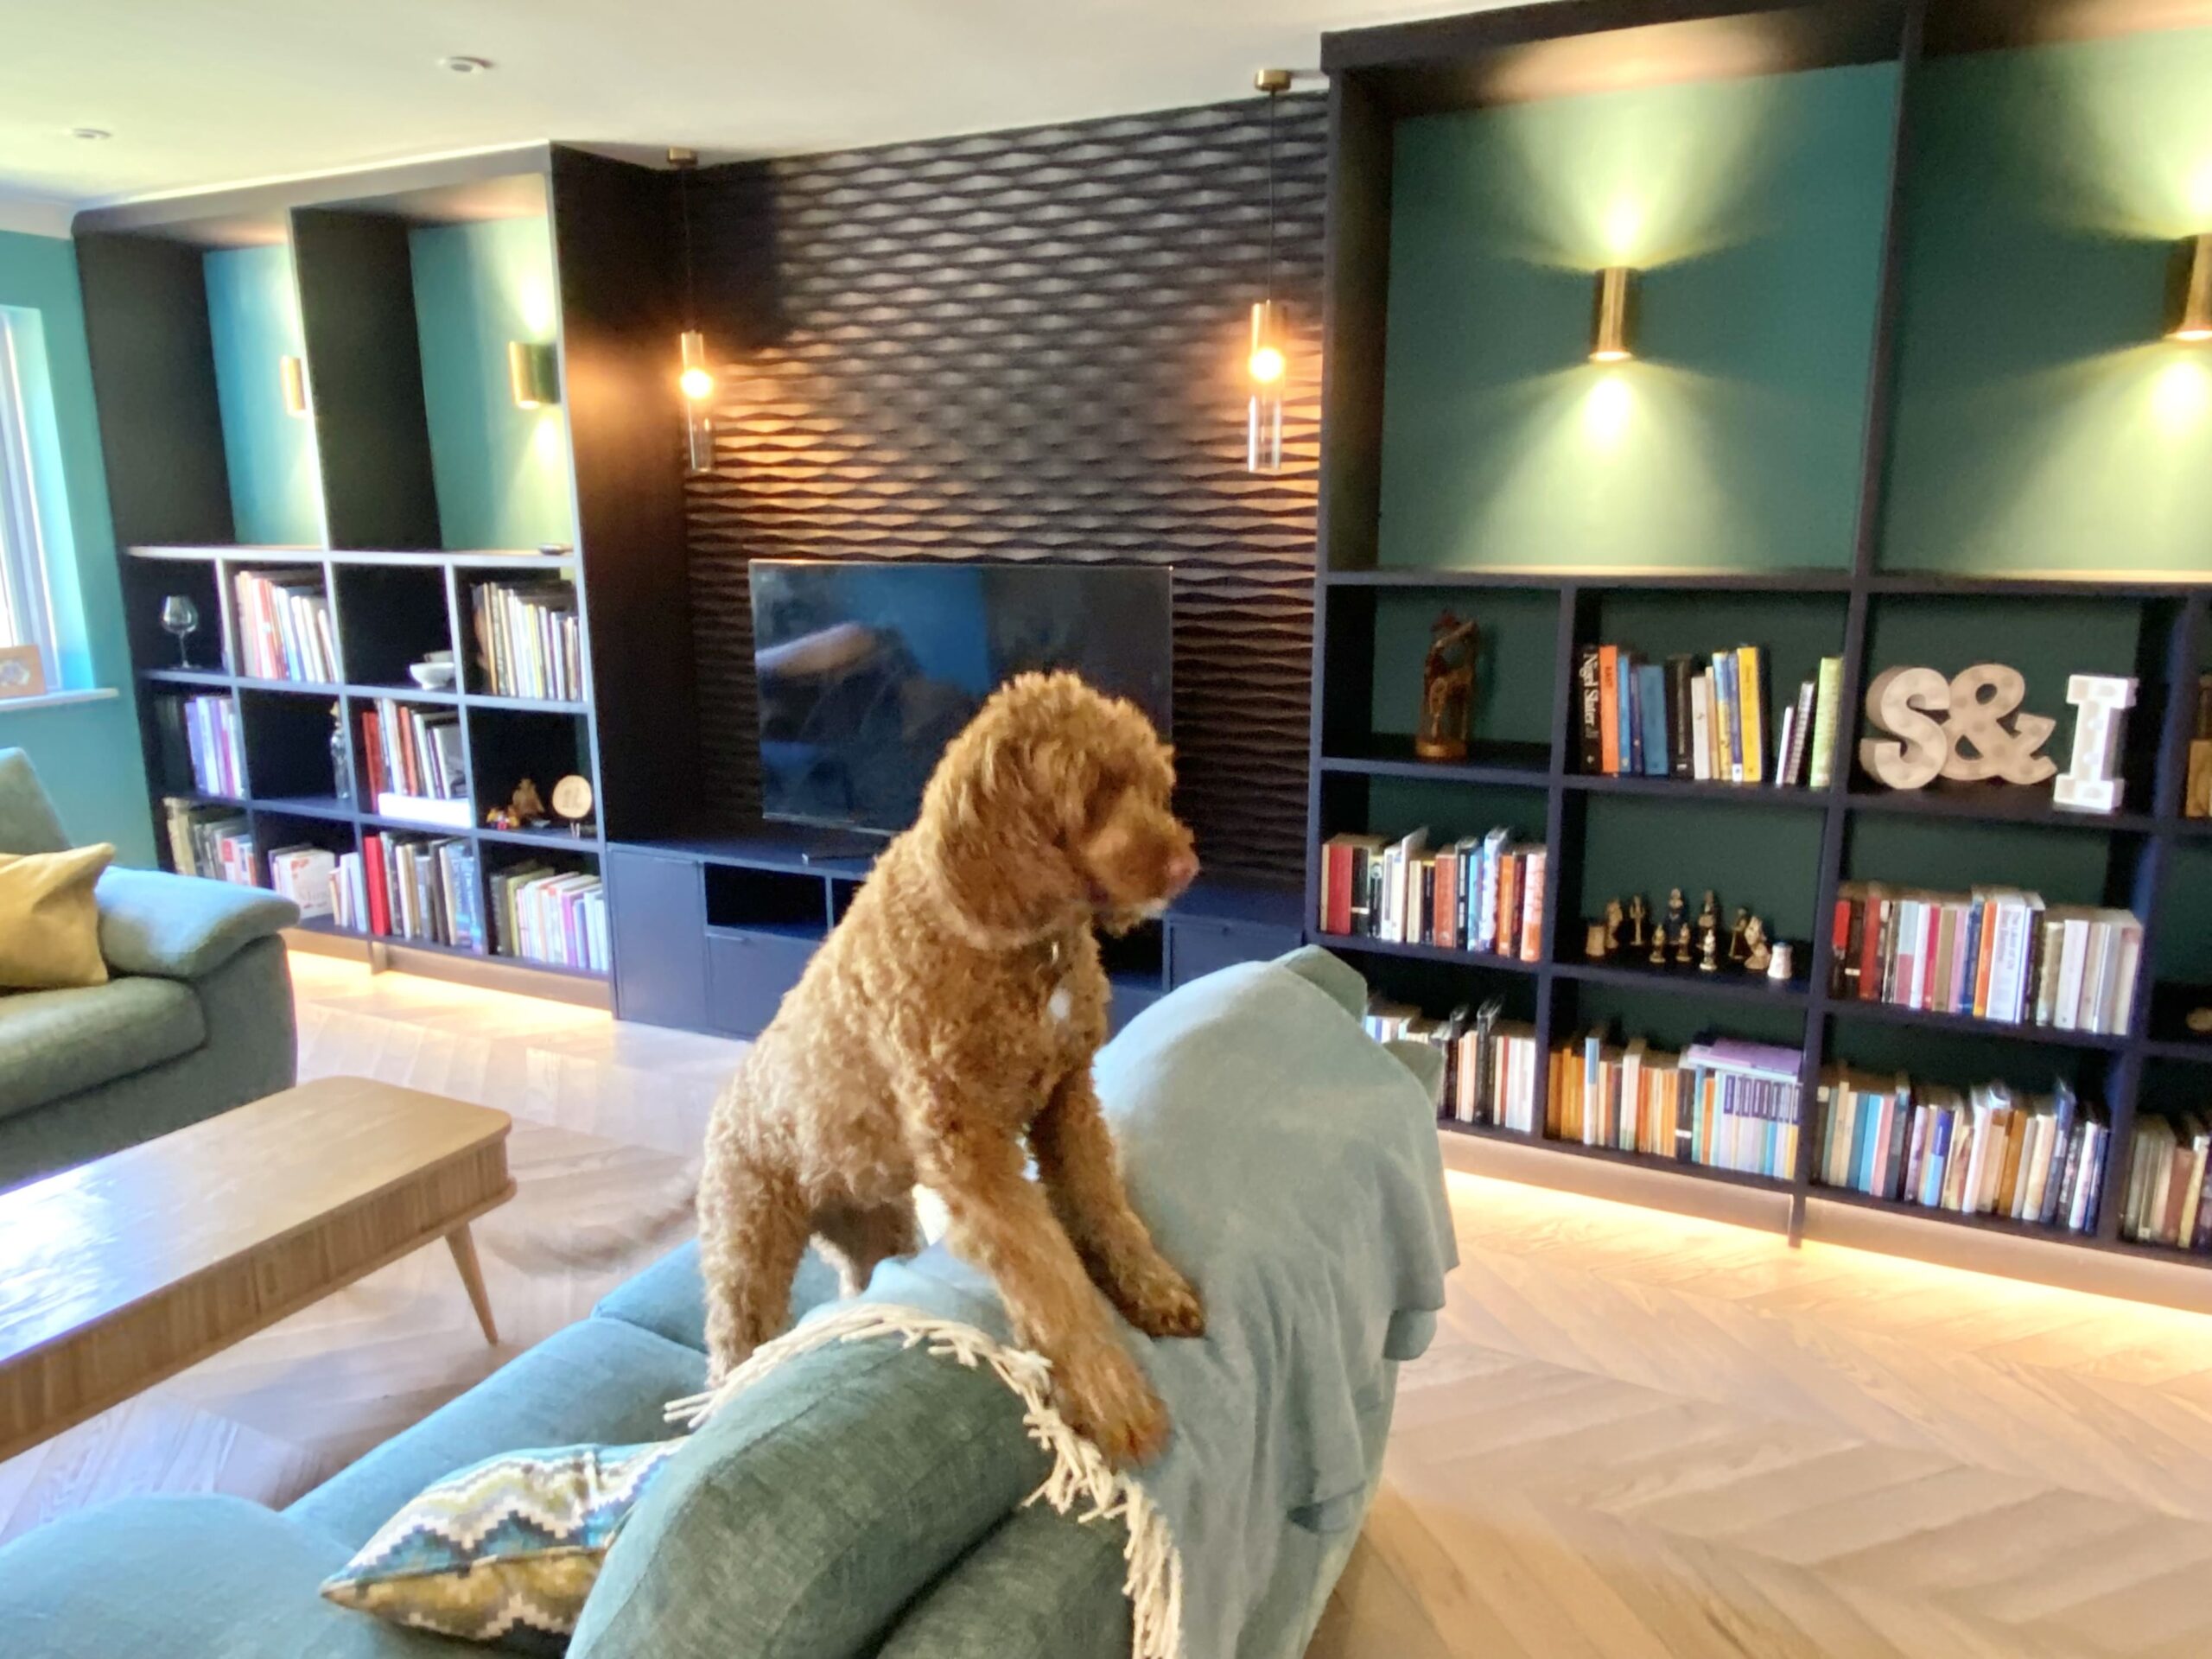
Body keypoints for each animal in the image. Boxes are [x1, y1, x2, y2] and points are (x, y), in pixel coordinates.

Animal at [698, 672, 1203, 1468]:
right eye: (1092, 793)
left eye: (1155, 784)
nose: (1185, 867)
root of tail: (724, 1105)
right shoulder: (972, 1152)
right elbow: (1049, 1275)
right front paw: (1111, 1397)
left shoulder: (1066, 1101)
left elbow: (1105, 1206)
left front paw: (1152, 1289)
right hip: (746, 1244)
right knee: (729, 1347)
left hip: (876, 1224)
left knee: (866, 1274)